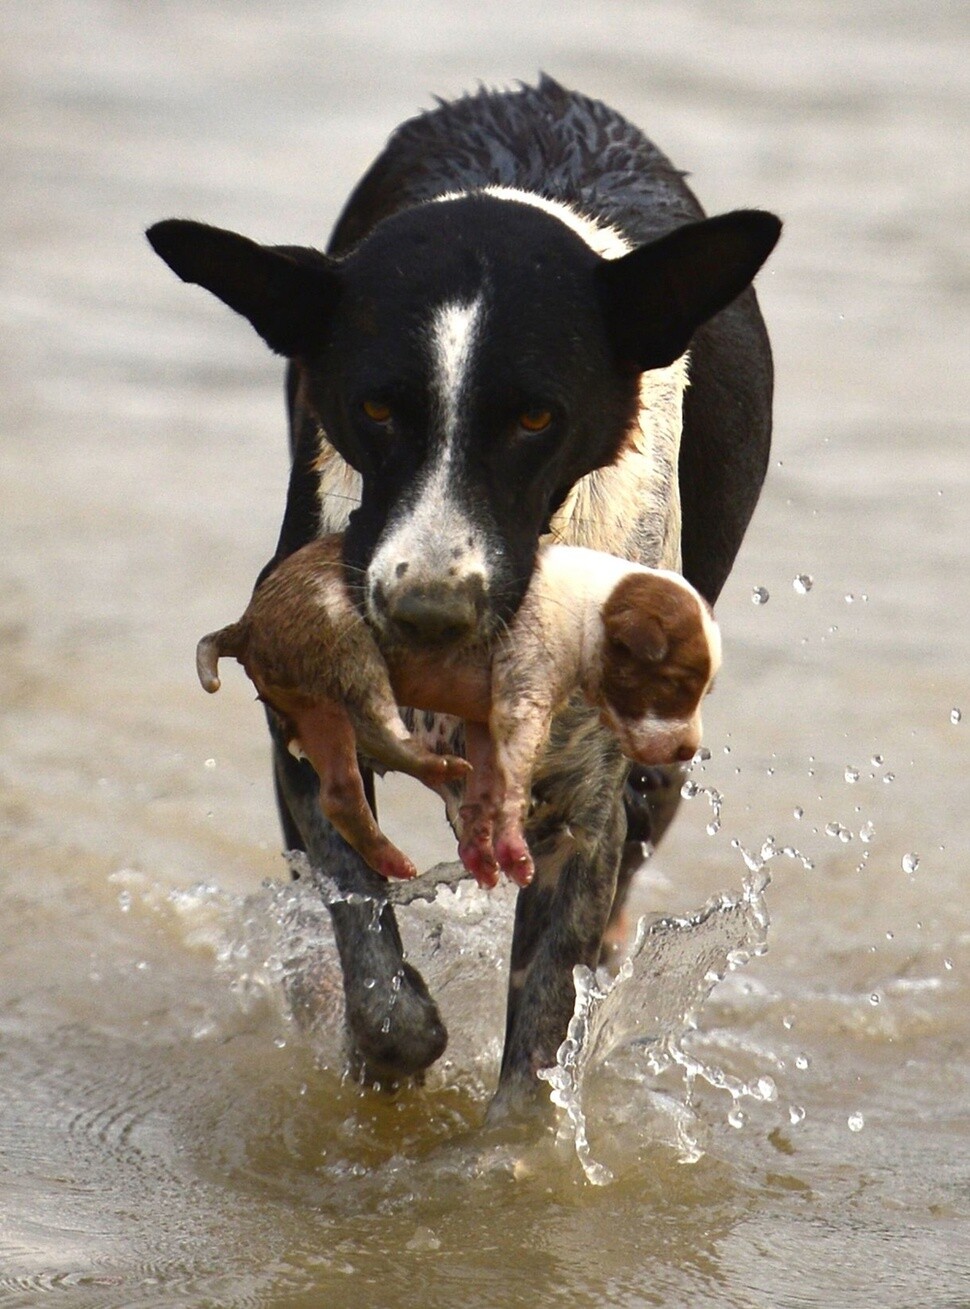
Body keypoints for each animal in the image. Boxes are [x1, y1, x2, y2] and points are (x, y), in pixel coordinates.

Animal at [195, 534, 717, 890]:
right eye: (676, 684)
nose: (689, 749)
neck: (591, 610)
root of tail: (246, 624)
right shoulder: (522, 699)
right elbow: (513, 780)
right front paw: (511, 846)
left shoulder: (486, 720)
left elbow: (488, 783)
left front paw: (480, 845)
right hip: (345, 641)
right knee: (380, 724)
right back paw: (432, 766)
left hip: (315, 709)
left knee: (340, 792)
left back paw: (390, 855)